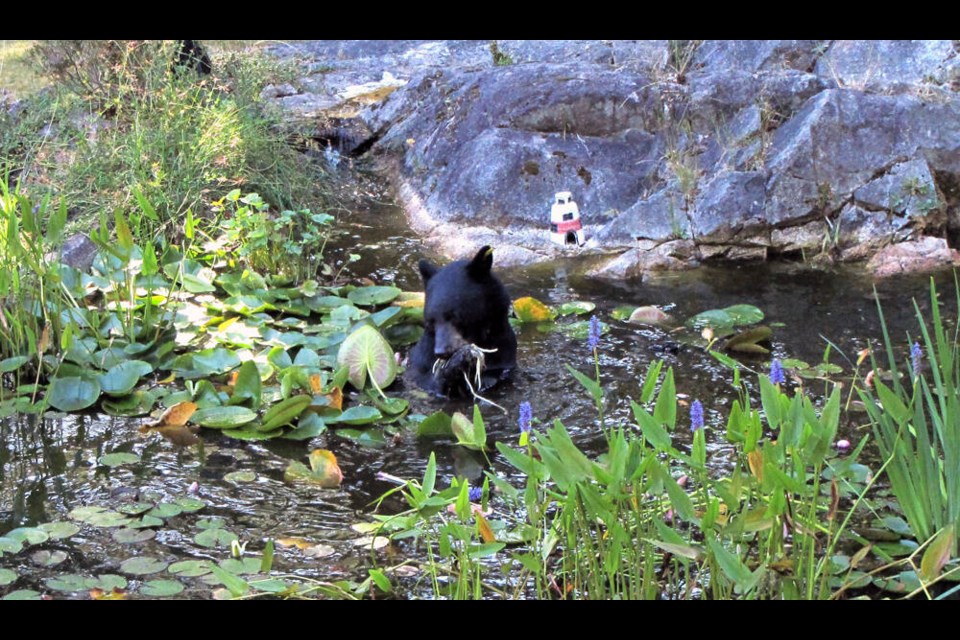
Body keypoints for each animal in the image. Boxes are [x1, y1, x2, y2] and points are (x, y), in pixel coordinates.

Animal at [410, 245, 516, 396]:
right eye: (431, 320)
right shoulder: (421, 362)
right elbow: (426, 378)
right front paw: (453, 366)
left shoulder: (503, 352)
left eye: (455, 315)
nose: (441, 352)